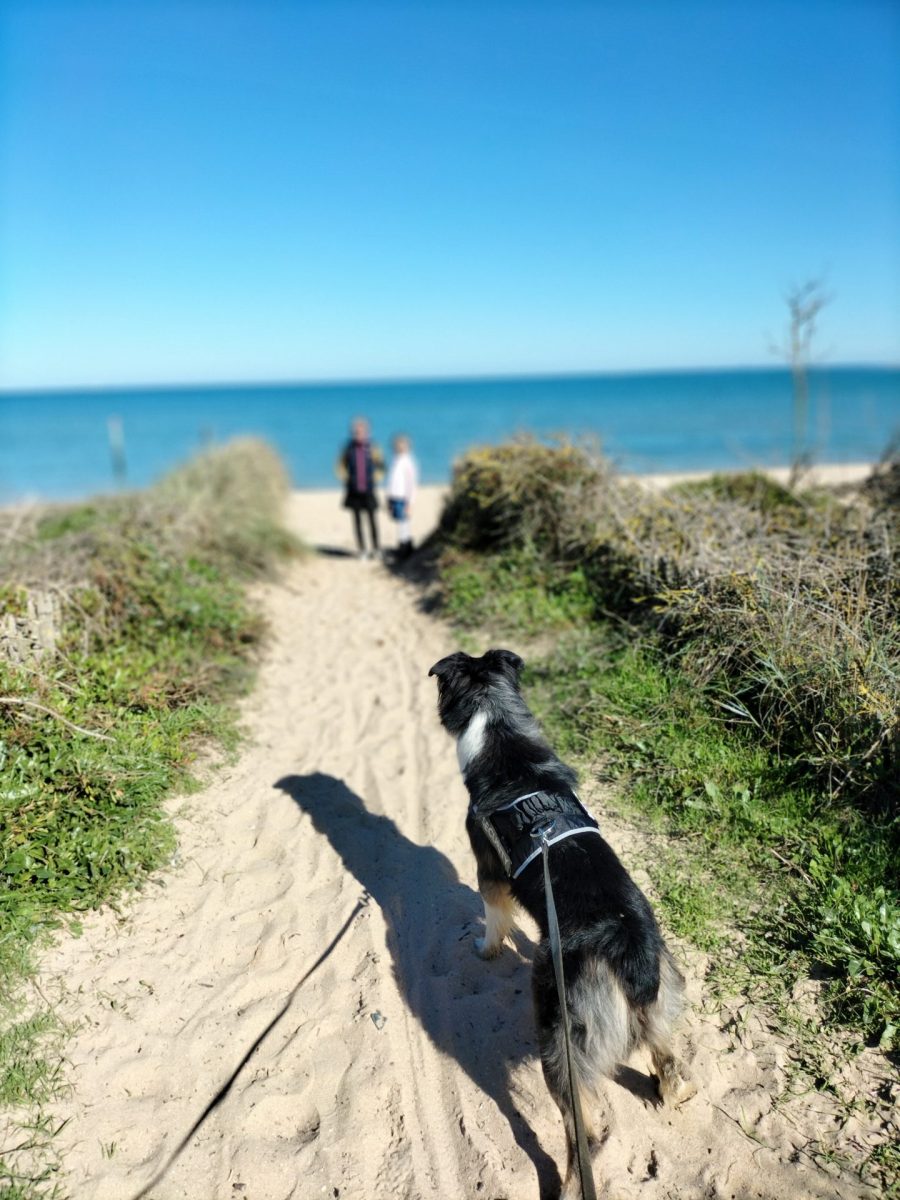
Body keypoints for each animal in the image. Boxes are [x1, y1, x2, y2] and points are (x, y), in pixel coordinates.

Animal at [429, 648, 692, 1198]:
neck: (501, 730)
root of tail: (630, 956)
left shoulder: (488, 871)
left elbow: (493, 919)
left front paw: (485, 950)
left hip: (561, 1039)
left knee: (585, 1131)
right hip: (660, 1001)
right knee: (671, 1060)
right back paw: (673, 1091)